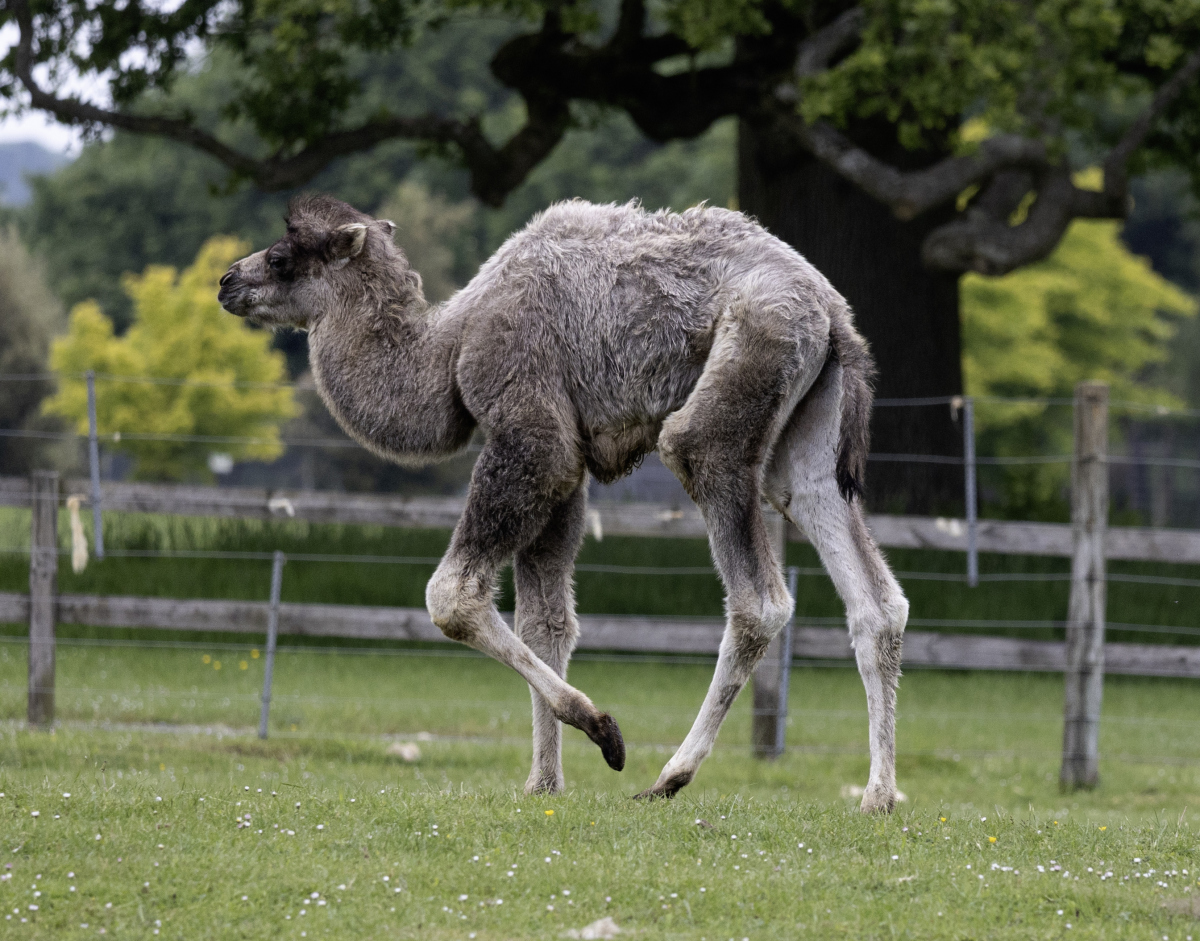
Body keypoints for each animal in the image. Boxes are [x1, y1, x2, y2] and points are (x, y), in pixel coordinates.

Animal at [218, 194, 907, 811]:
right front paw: (543, 784)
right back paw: (877, 796)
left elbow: (453, 598)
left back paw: (669, 777)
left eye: (281, 257)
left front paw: (603, 731)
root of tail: (832, 312)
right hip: (807, 431)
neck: (449, 345)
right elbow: (546, 623)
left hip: (740, 377)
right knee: (869, 588)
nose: (227, 281)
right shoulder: (567, 475)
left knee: (754, 590)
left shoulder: (531, 433)